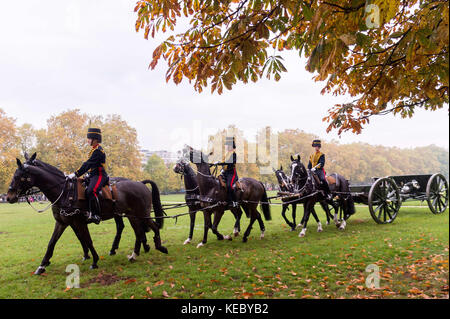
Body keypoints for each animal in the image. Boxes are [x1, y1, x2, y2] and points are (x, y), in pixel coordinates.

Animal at [6, 153, 168, 276]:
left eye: (20, 176)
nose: (9, 197)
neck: (64, 191)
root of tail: (140, 183)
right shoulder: (62, 223)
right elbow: (52, 242)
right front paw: (42, 265)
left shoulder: (78, 222)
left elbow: (87, 240)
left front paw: (94, 260)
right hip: (132, 215)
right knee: (139, 232)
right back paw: (135, 253)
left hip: (141, 214)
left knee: (153, 227)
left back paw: (159, 246)